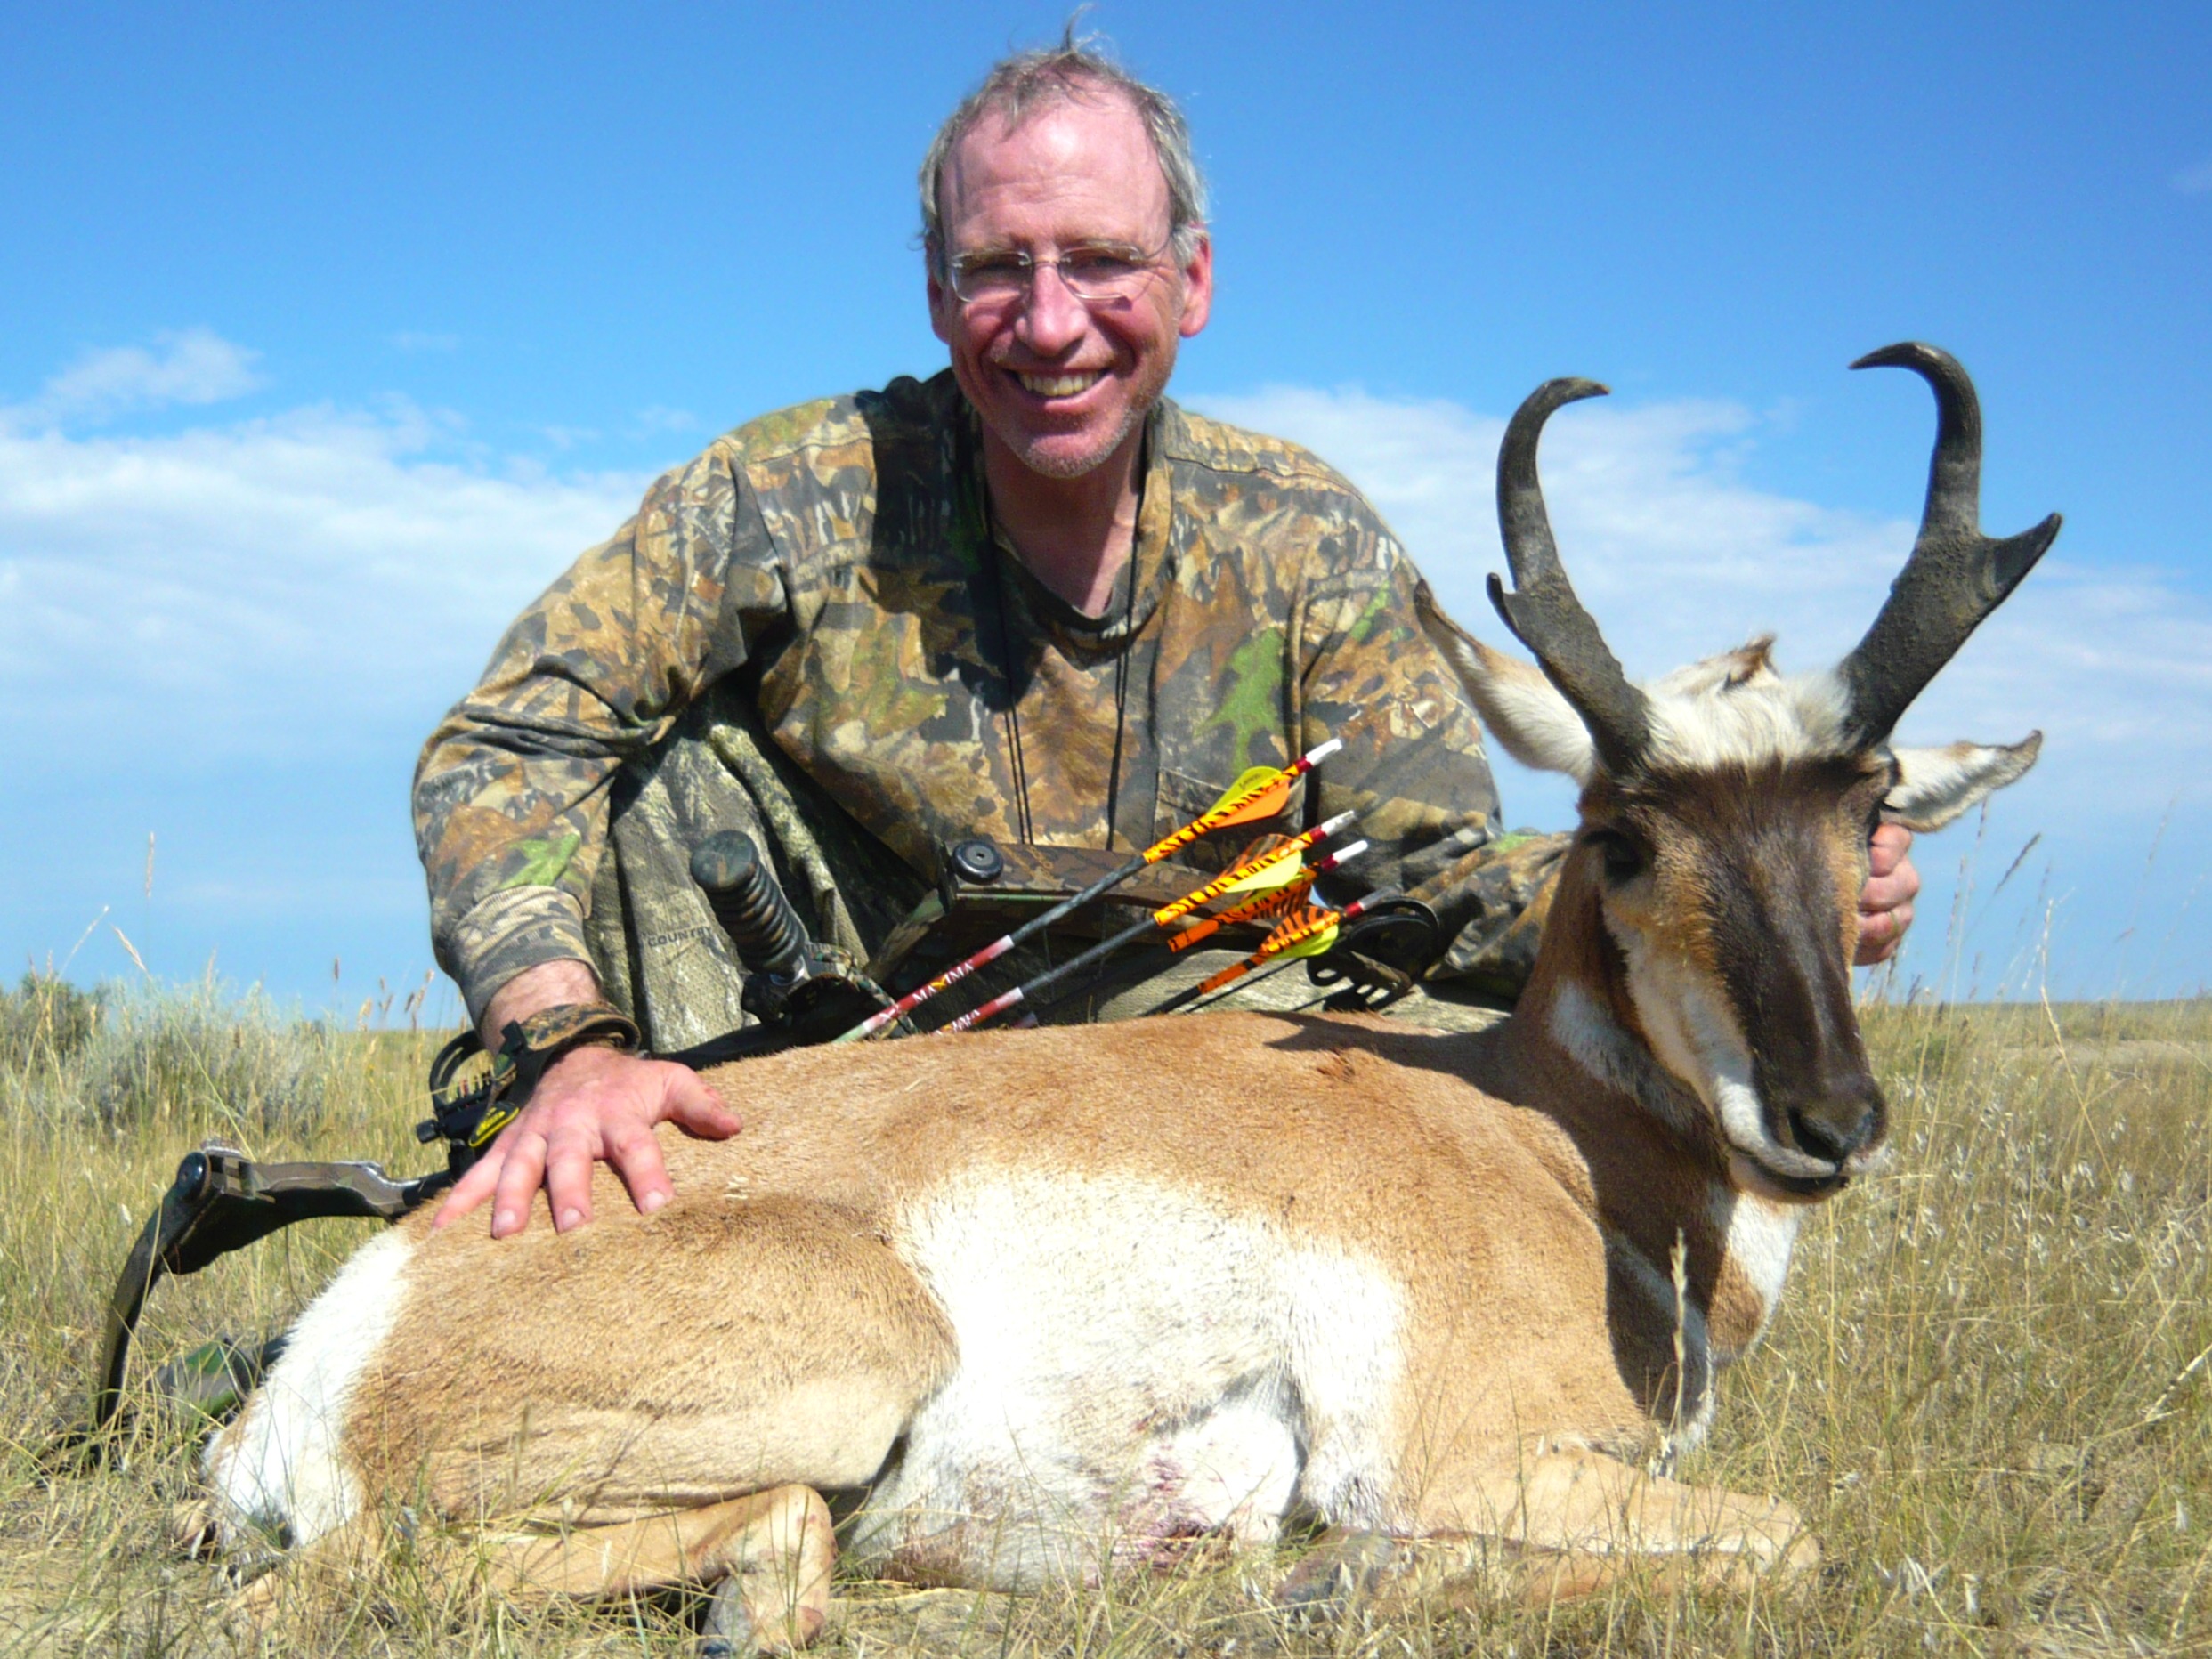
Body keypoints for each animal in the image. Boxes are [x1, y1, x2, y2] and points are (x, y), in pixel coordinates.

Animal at [202, 343, 2054, 1647]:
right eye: (1625, 828)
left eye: (1871, 811)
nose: (1830, 1118)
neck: (1540, 1134)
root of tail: (356, 1316)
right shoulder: (1468, 1462)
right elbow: (1798, 1538)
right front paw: (1334, 1584)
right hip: (853, 1347)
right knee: (378, 1578)